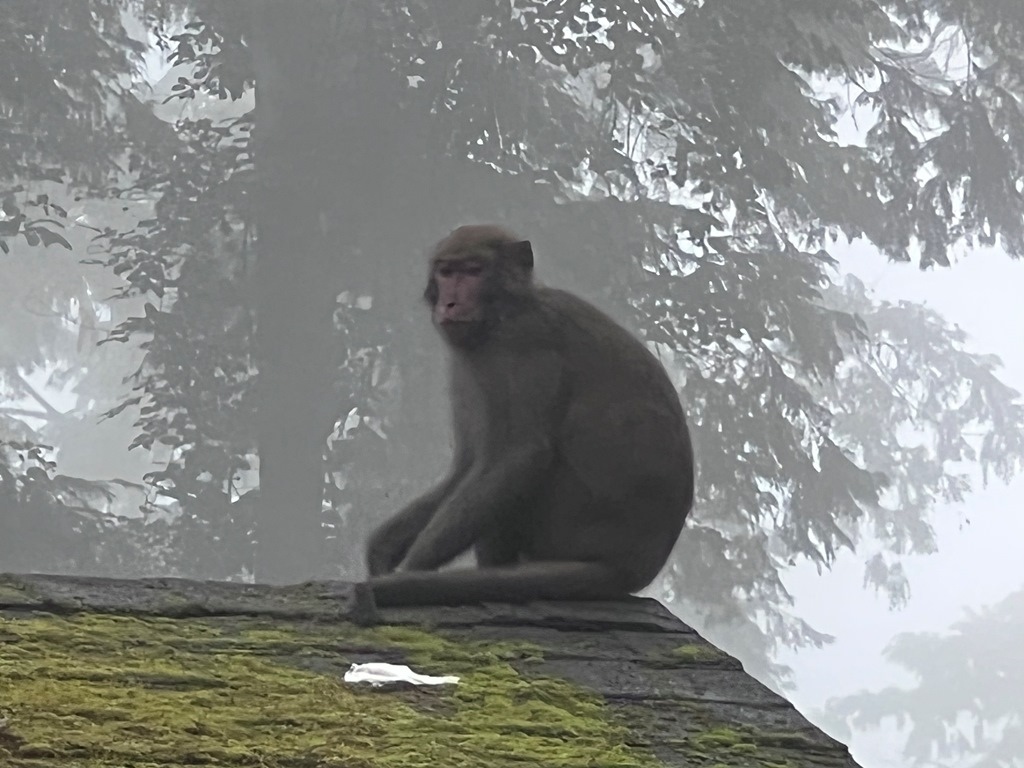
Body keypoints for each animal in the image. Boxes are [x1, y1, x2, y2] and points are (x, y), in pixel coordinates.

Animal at [362, 224, 696, 606]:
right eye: (447, 272)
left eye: (473, 271)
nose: (450, 303)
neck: (503, 313)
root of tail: (633, 566)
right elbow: (464, 468)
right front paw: (382, 549)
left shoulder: (525, 342)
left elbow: (521, 454)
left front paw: (411, 571)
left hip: (568, 528)